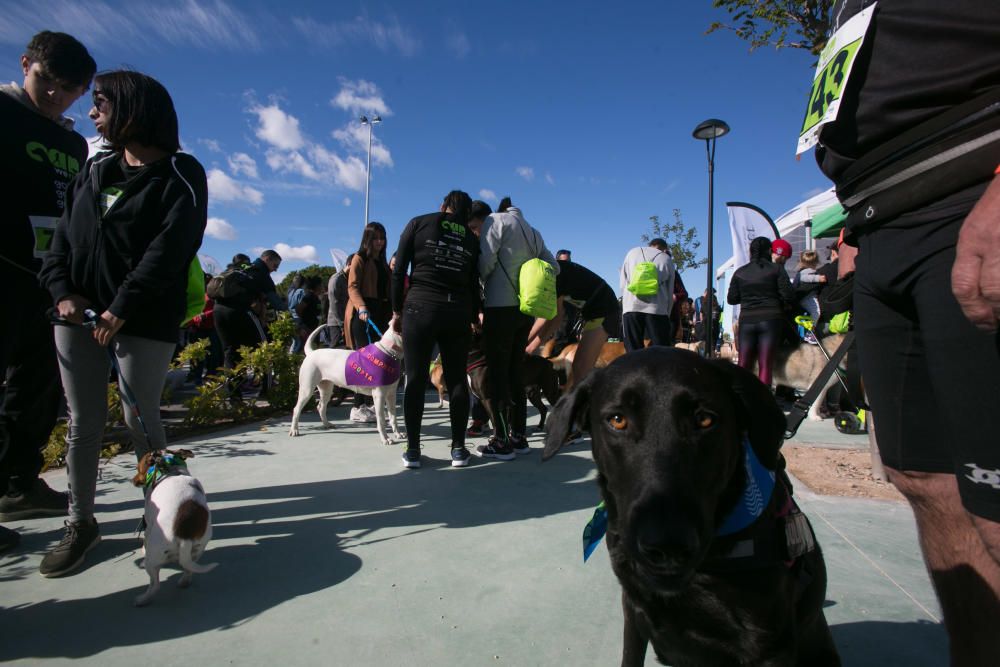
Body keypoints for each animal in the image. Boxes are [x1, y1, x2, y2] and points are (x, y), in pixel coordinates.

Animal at [131, 452, 215, 608]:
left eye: (138, 468)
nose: (133, 480)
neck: (170, 470)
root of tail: (184, 534)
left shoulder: (149, 523)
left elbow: (145, 539)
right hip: (197, 550)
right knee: (188, 569)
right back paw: (184, 582)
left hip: (153, 559)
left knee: (155, 585)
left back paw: (141, 600)